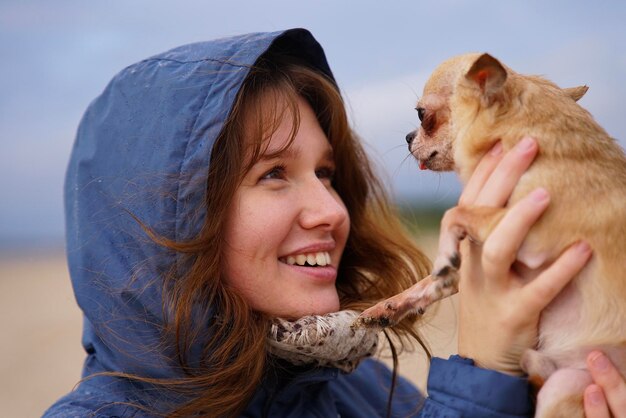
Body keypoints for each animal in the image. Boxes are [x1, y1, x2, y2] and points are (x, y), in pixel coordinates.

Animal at [356, 54, 624, 416]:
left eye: (421, 115)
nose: (410, 136)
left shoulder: (534, 233)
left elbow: (454, 214)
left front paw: (443, 254)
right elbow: (425, 283)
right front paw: (389, 305)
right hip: (564, 383)